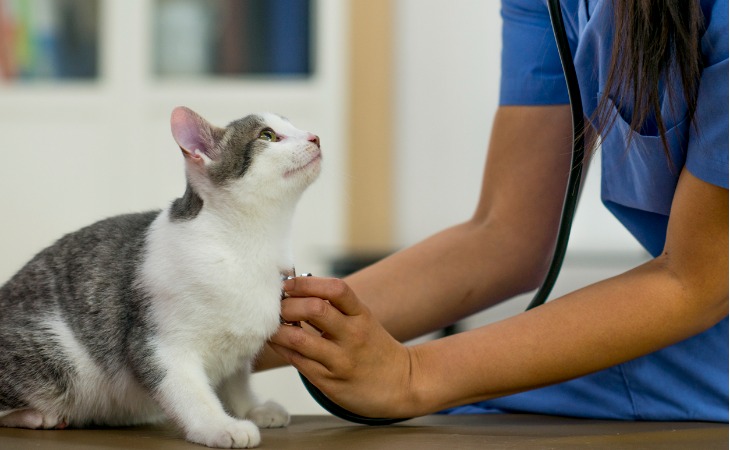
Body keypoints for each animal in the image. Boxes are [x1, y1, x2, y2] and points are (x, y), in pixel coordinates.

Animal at [0, 107, 322, 448]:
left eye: (293, 126)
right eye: (268, 136)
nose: (315, 137)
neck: (249, 246)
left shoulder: (237, 349)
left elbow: (236, 381)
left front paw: (251, 408)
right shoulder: (159, 344)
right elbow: (190, 392)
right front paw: (219, 425)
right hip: (57, 356)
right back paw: (36, 416)